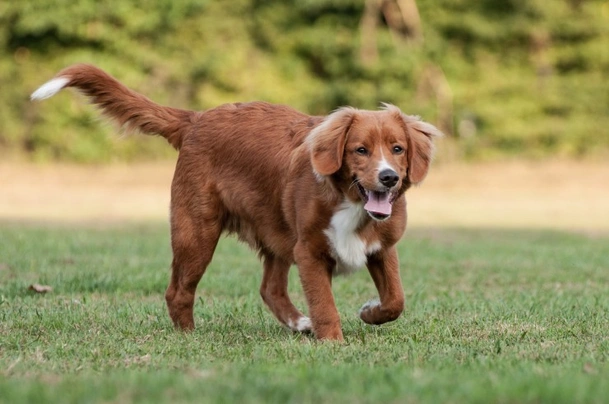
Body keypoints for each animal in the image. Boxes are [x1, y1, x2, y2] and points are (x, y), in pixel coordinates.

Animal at [32, 64, 442, 340]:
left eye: (397, 149)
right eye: (360, 150)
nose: (388, 178)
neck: (350, 202)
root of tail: (196, 118)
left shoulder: (382, 248)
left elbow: (396, 300)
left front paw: (370, 312)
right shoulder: (309, 250)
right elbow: (325, 304)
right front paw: (334, 343)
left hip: (274, 228)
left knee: (270, 288)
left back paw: (298, 322)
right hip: (196, 232)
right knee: (178, 290)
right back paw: (189, 335)